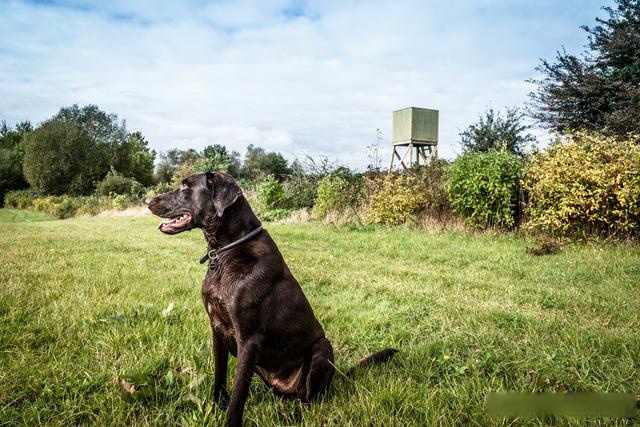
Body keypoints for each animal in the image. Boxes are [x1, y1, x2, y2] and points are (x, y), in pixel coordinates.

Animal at [148, 173, 398, 427]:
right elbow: (220, 375)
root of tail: (337, 375)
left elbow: (238, 394)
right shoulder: (216, 329)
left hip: (322, 348)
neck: (225, 252)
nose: (148, 201)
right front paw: (216, 407)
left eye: (185, 187)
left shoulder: (249, 340)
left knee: (311, 399)